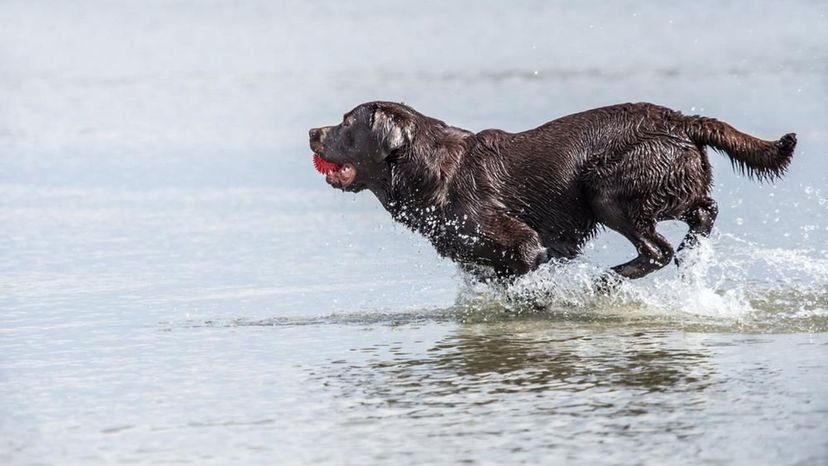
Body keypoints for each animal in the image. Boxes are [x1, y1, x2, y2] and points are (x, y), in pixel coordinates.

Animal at [310, 102, 796, 280]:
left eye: (346, 123)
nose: (313, 132)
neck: (426, 170)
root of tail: (678, 119)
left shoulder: (524, 243)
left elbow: (522, 269)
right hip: (668, 181)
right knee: (704, 210)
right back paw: (691, 251)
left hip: (607, 189)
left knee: (657, 249)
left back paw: (609, 279)